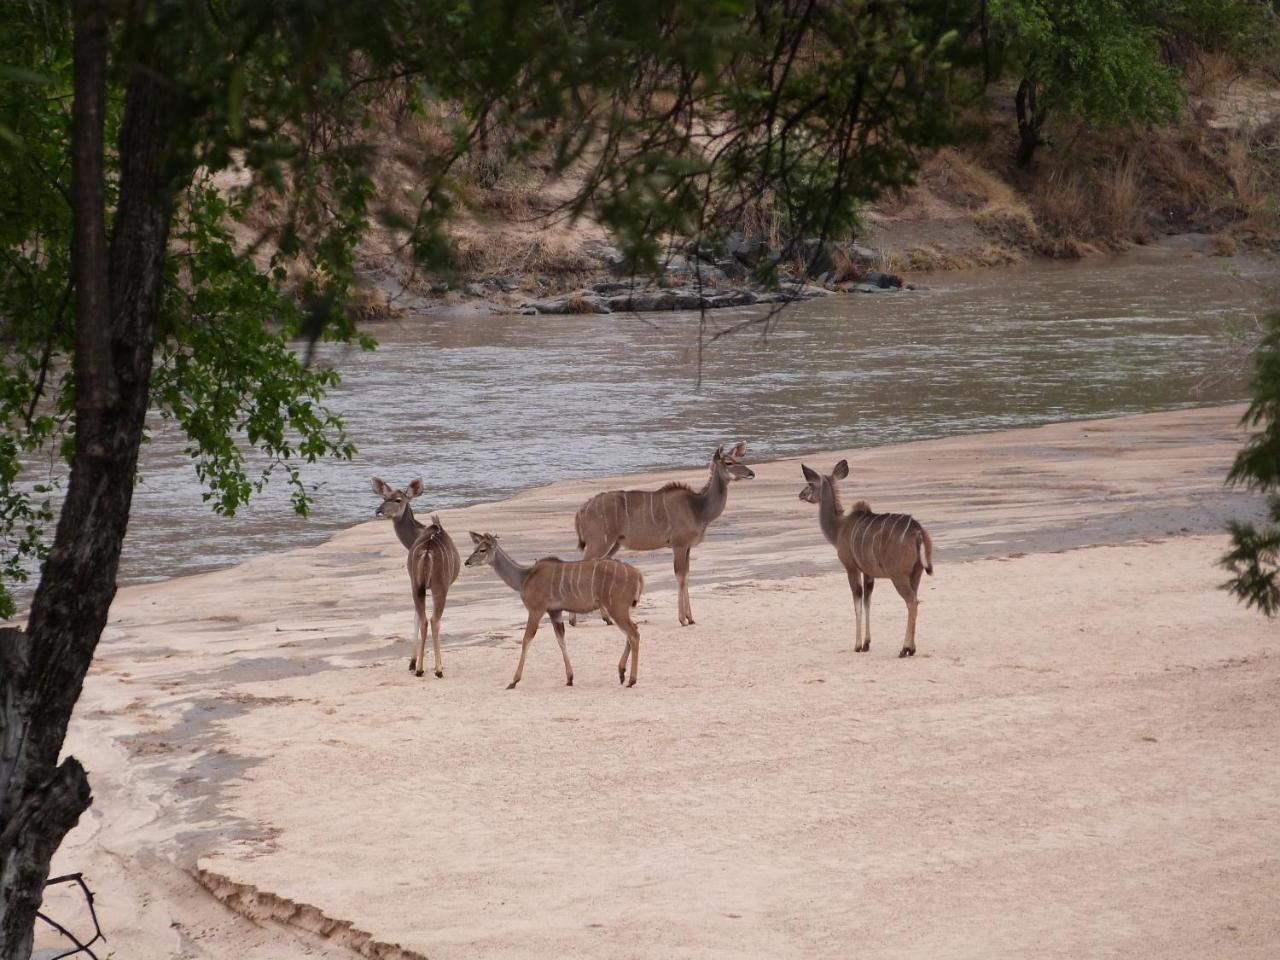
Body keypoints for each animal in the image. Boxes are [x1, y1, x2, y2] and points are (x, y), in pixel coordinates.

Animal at [373, 478, 463, 675]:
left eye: (398, 499)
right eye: (384, 497)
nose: (378, 511)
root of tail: (427, 553)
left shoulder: (416, 584)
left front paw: (412, 663)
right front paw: (415, 663)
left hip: (417, 586)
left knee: (423, 620)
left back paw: (420, 669)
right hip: (438, 588)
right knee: (433, 620)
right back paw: (435, 669)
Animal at [465, 537, 645, 686]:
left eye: (482, 550)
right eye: (475, 547)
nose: (467, 562)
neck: (524, 577)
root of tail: (637, 574)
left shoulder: (536, 610)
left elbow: (526, 639)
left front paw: (514, 681)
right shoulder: (555, 612)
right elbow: (561, 639)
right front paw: (569, 678)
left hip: (617, 608)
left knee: (633, 634)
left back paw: (631, 680)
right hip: (620, 609)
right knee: (633, 631)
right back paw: (621, 673)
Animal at [576, 442, 752, 627]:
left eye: (738, 459)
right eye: (728, 462)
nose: (751, 473)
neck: (697, 508)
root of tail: (581, 510)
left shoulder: (687, 547)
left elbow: (687, 576)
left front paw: (690, 618)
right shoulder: (679, 545)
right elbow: (680, 577)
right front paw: (682, 619)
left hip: (613, 544)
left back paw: (607, 619)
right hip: (598, 543)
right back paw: (575, 620)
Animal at [793, 463, 936, 660]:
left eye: (809, 483)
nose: (800, 494)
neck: (839, 528)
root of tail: (918, 531)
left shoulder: (851, 568)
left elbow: (857, 604)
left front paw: (858, 645)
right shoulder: (868, 572)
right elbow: (868, 602)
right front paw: (867, 644)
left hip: (898, 575)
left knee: (912, 602)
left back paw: (904, 649)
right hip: (916, 573)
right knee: (915, 599)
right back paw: (911, 648)